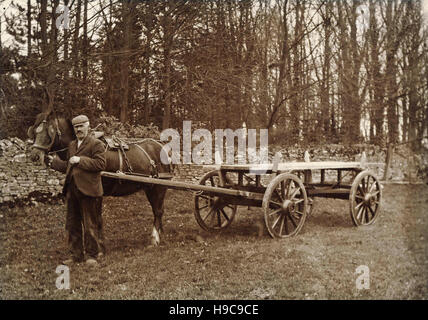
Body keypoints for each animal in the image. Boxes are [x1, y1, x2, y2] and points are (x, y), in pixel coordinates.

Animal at [27, 111, 172, 246]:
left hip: (160, 186)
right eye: (34, 131)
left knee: (158, 211)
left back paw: (155, 238)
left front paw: (99, 243)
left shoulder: (97, 193)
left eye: (49, 132)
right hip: (150, 186)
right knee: (157, 210)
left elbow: (97, 219)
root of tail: (161, 146)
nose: (34, 156)